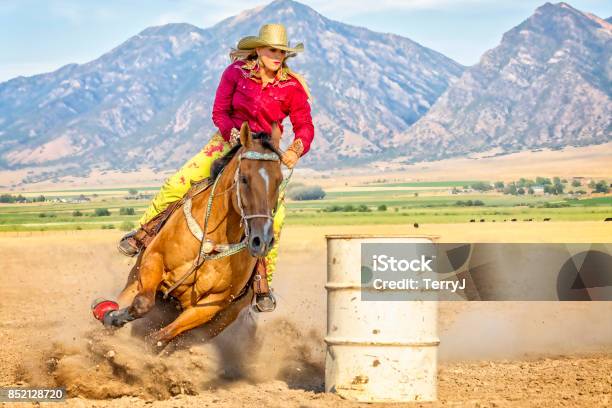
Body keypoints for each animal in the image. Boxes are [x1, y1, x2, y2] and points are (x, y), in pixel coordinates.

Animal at [91, 122, 286, 350]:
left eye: (279, 181)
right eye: (244, 178)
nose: (261, 240)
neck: (211, 241)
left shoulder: (211, 306)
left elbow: (160, 338)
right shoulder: (153, 260)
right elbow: (142, 304)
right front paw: (107, 315)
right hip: (135, 277)